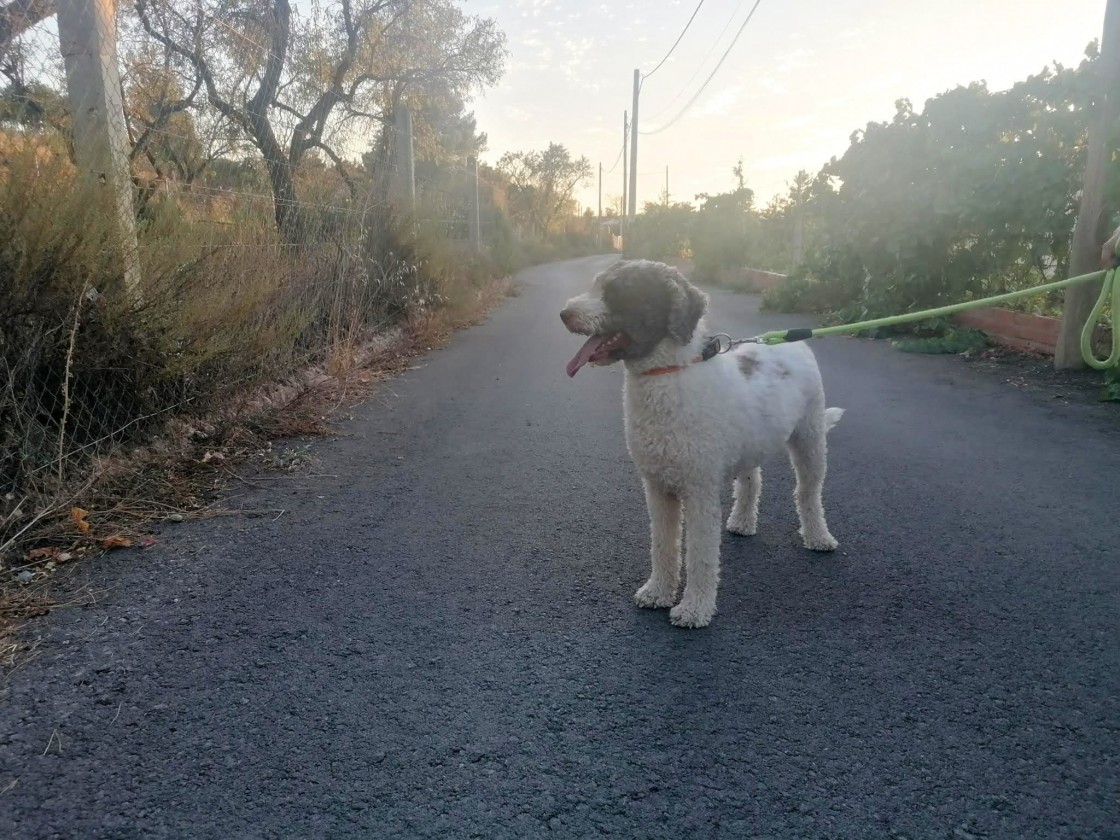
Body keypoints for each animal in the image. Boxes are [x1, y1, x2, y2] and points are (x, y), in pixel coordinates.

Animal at [564, 259, 842, 627]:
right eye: (596, 285)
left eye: (618, 292)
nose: (564, 314)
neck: (669, 374)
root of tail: (791, 341)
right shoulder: (657, 487)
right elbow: (663, 545)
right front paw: (658, 592)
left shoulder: (700, 489)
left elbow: (700, 553)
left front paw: (694, 608)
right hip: (750, 444)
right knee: (752, 481)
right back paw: (742, 522)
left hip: (810, 438)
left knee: (808, 493)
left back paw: (818, 537)